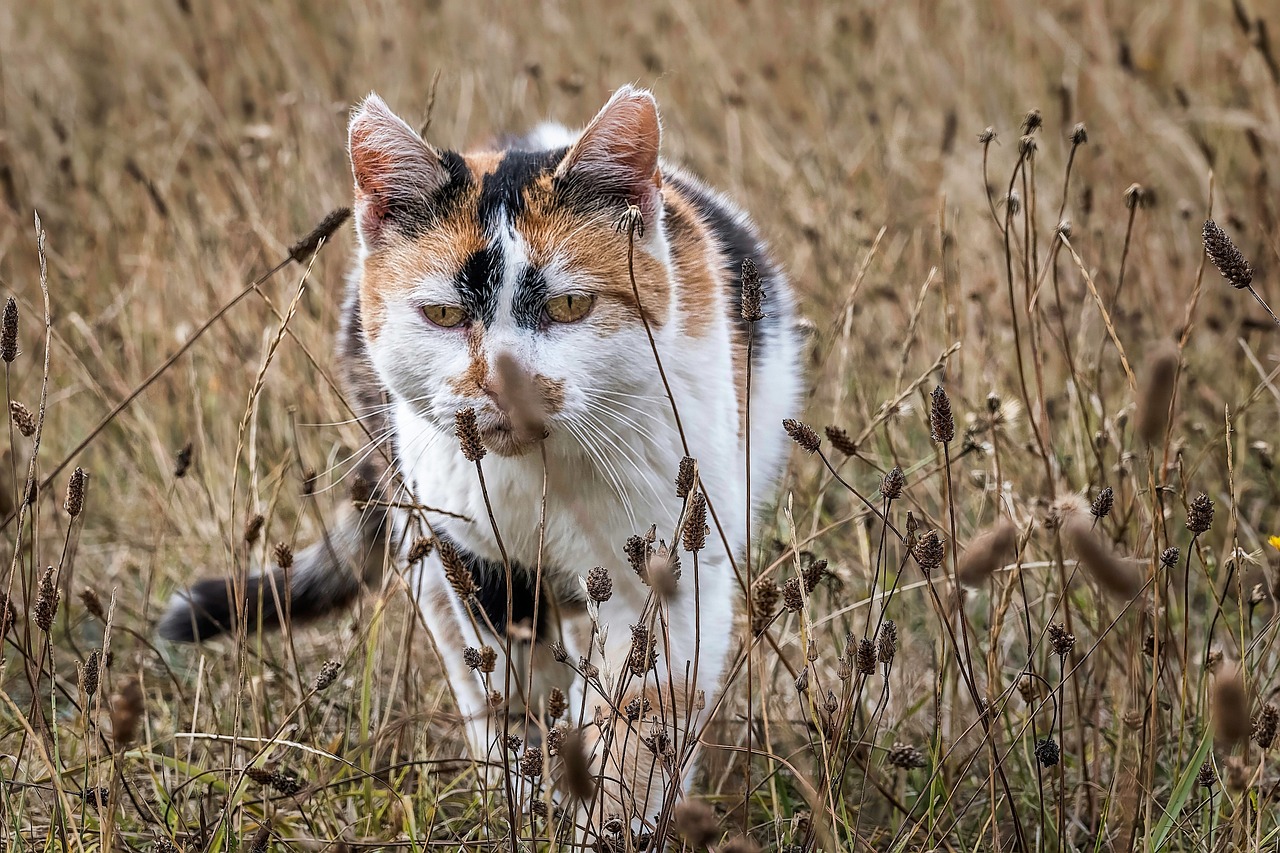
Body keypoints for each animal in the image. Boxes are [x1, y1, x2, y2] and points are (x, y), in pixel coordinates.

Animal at [160, 84, 798, 819]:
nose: (501, 381)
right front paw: (531, 800)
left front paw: (612, 819)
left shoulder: (672, 566)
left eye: (570, 305)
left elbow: (645, 712)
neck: (542, 477)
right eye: (442, 314)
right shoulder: (478, 561)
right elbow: (516, 690)